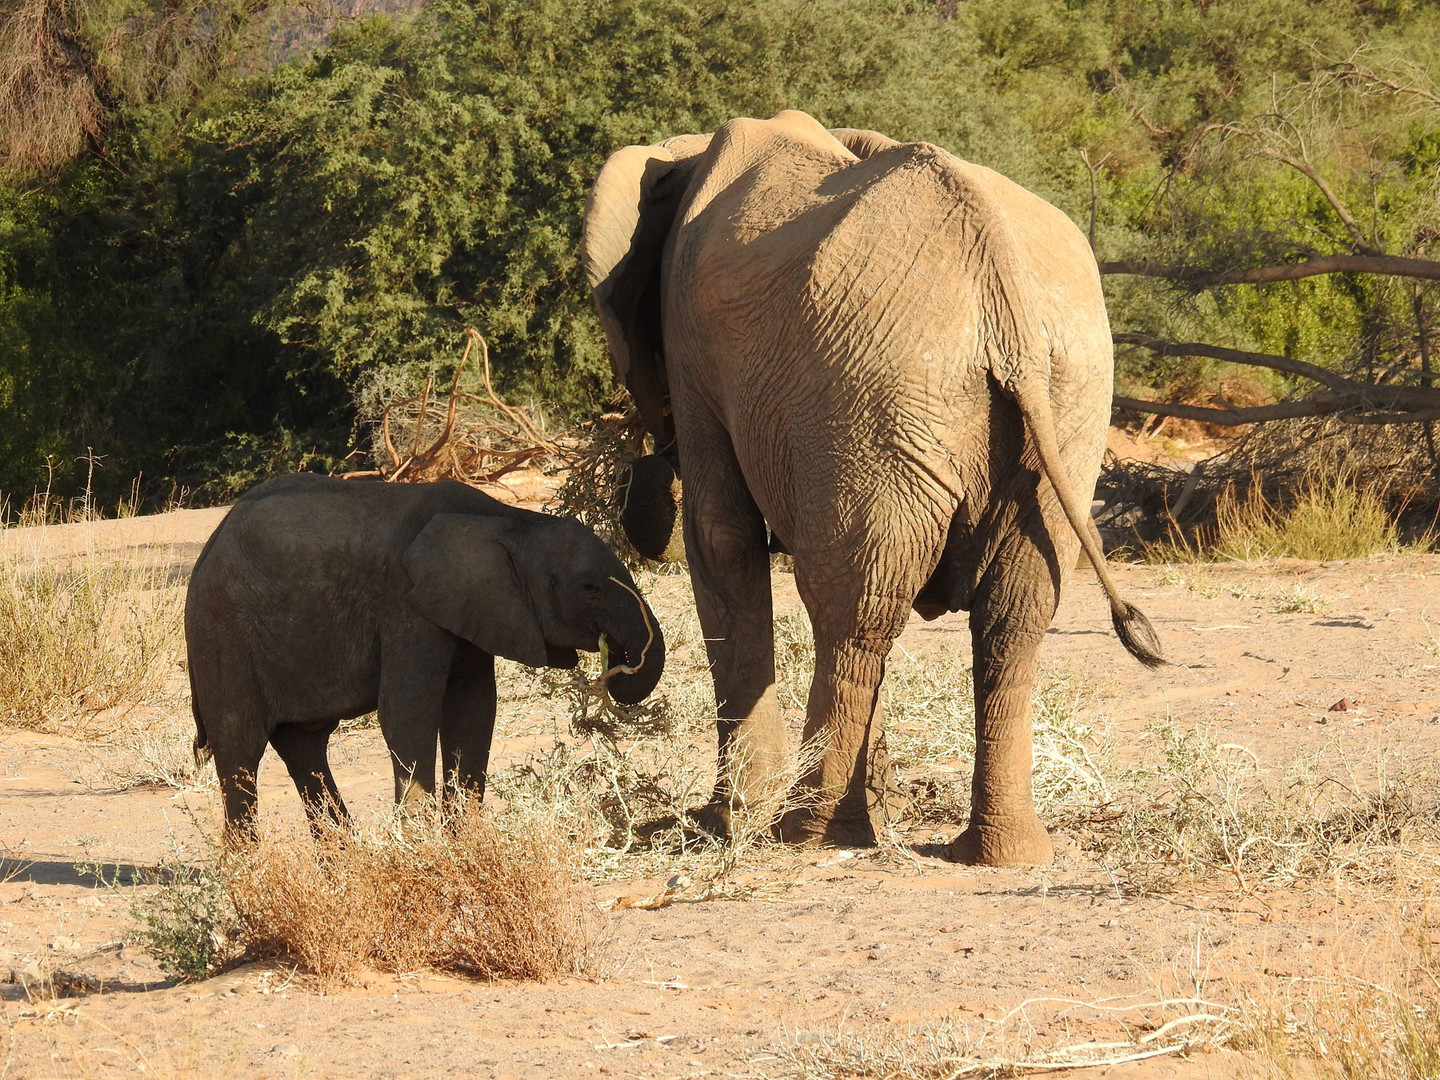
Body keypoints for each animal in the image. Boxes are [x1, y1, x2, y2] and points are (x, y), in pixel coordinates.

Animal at [184, 469, 668, 835]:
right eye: (589, 589)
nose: (616, 668)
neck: (509, 521)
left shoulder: (473, 611)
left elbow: (474, 710)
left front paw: (463, 840)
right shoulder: (406, 605)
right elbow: (407, 708)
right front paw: (420, 844)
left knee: (304, 748)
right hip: (220, 634)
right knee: (241, 750)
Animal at [578, 112, 1163, 869]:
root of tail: (1003, 292)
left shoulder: (693, 344)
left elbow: (721, 538)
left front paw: (721, 824)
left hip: (872, 398)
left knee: (853, 609)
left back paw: (809, 833)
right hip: (1063, 404)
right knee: (1002, 612)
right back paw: (1001, 851)